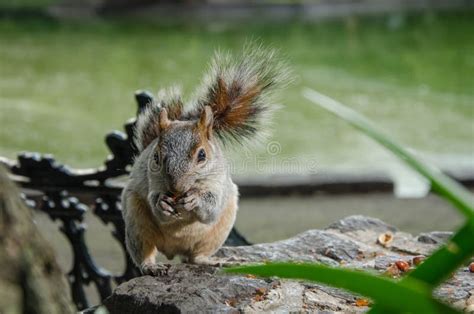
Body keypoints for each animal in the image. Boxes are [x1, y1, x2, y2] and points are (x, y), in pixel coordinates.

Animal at [121, 46, 288, 274]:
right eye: (156, 157)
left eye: (202, 155)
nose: (176, 187)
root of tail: (173, 250)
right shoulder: (151, 181)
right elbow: (157, 205)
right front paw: (163, 203)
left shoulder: (218, 183)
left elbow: (211, 208)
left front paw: (195, 200)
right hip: (136, 222)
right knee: (145, 251)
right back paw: (150, 266)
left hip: (218, 230)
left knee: (196, 257)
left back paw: (212, 261)